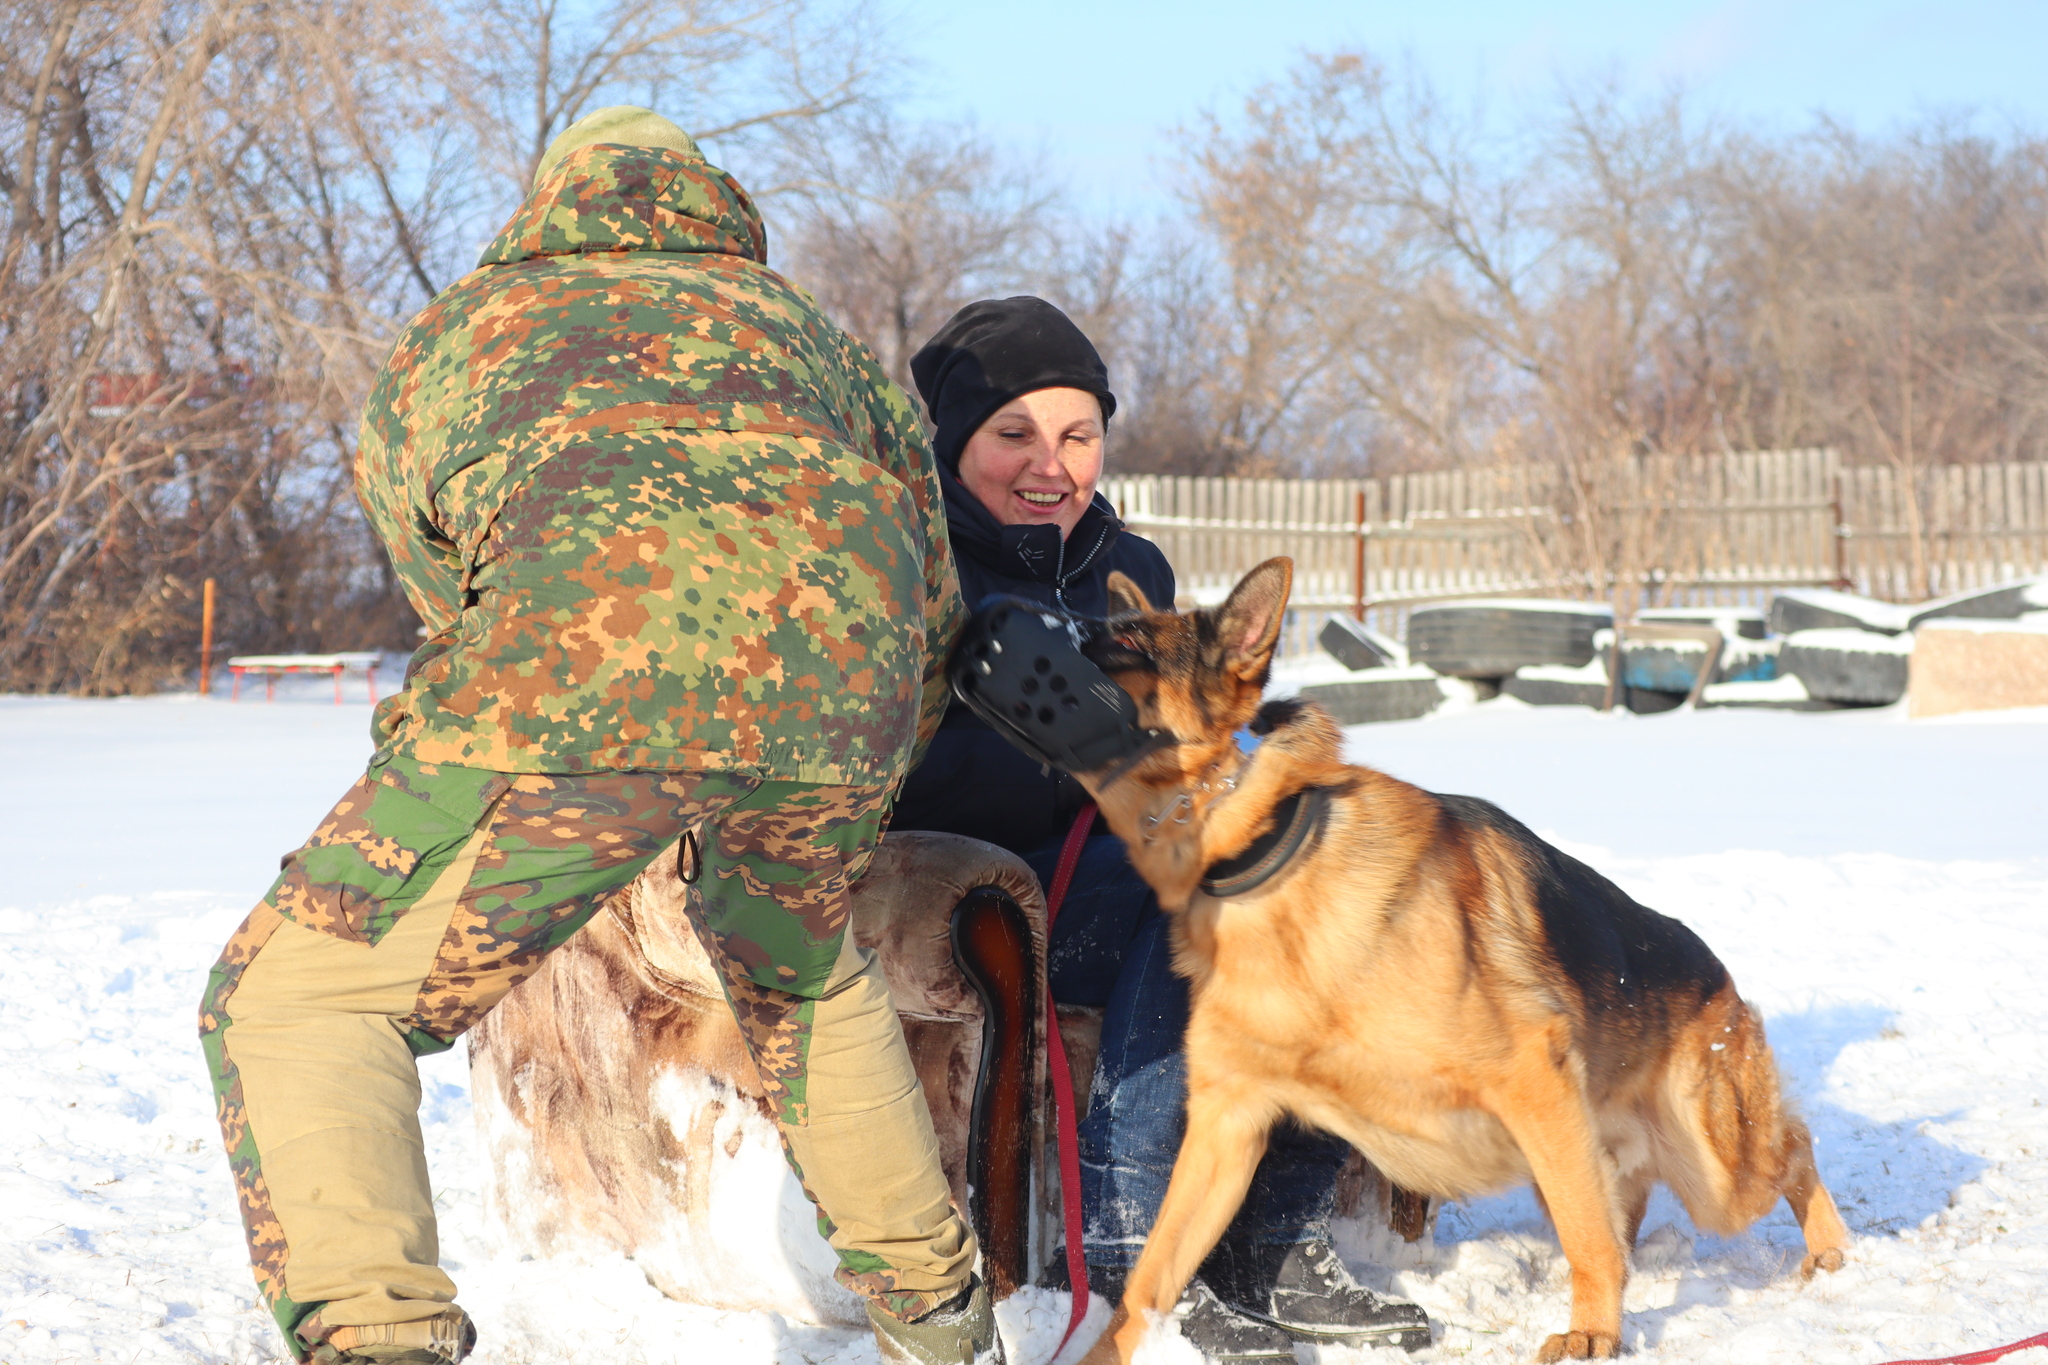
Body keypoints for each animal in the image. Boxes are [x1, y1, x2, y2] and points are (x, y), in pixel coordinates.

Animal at [1073, 560, 1859, 1358]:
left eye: (1129, 640)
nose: (1060, 630)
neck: (1272, 857)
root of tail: (1717, 975)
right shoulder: (1226, 1131)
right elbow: (1148, 1279)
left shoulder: (1530, 1076)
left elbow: (1589, 1238)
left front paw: (1594, 1333)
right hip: (1585, 1153)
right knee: (1625, 1206)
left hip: (1710, 1171)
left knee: (1790, 1147)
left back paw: (1828, 1251)